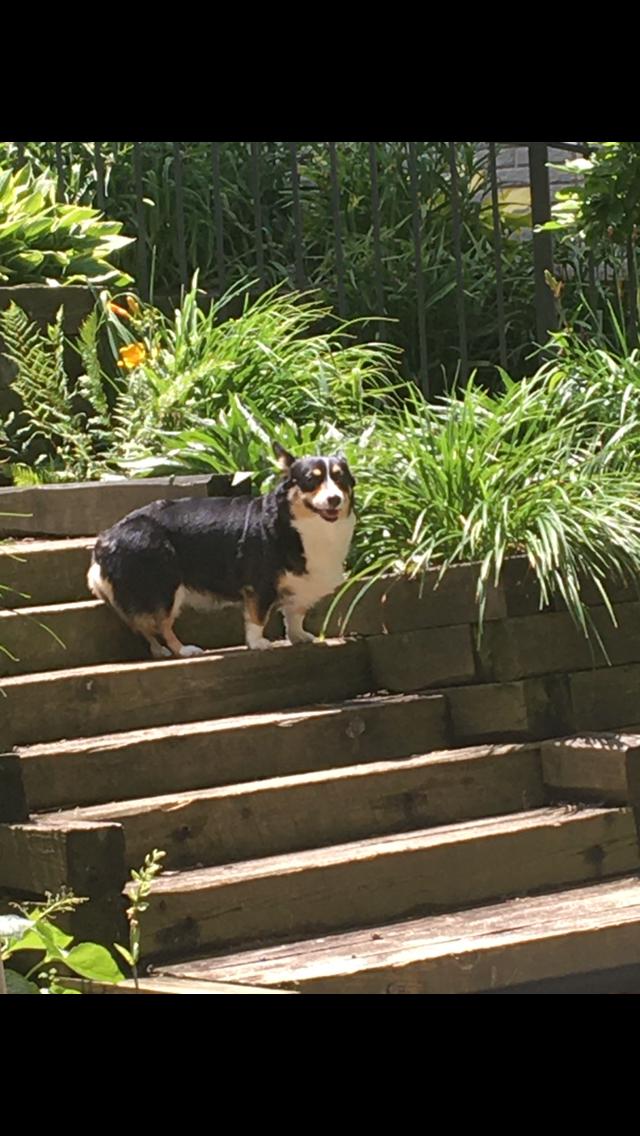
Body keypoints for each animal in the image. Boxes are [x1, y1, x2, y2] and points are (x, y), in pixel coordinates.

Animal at [87, 442, 356, 657]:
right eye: (311, 479)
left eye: (341, 479)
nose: (334, 499)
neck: (301, 525)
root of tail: (106, 540)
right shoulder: (260, 585)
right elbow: (257, 617)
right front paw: (257, 643)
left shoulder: (299, 586)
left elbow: (295, 614)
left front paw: (298, 636)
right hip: (164, 585)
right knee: (161, 623)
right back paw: (183, 650)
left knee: (143, 626)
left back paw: (160, 651)